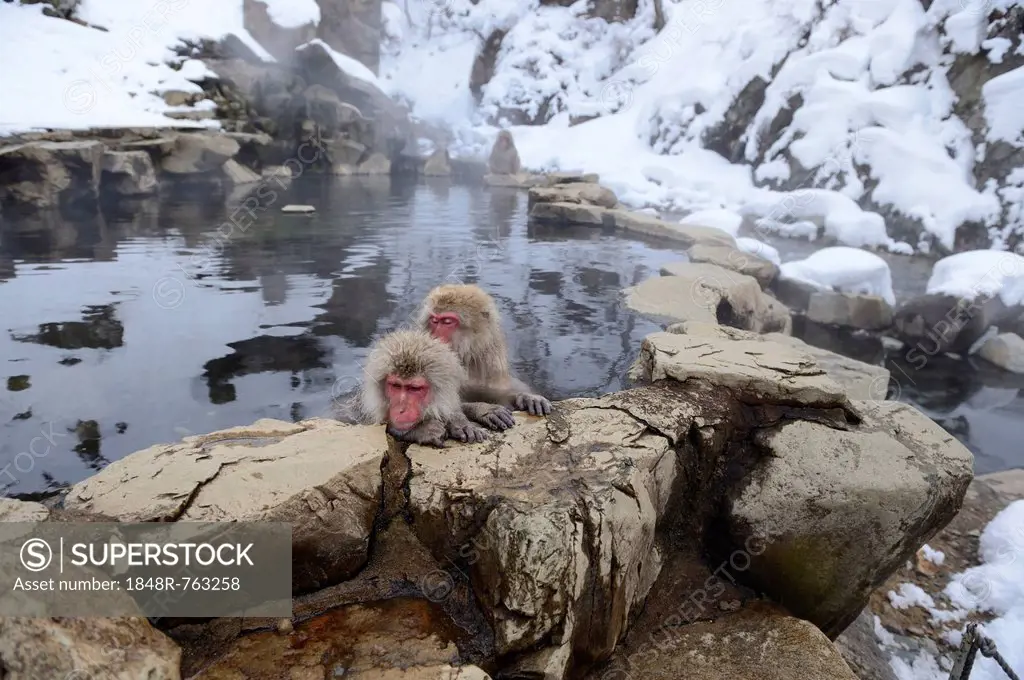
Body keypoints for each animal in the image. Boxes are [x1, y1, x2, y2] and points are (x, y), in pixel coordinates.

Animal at [413, 282, 552, 419]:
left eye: (447, 322)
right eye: (434, 320)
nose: (434, 335)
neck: (468, 357)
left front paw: (527, 397)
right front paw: (483, 409)